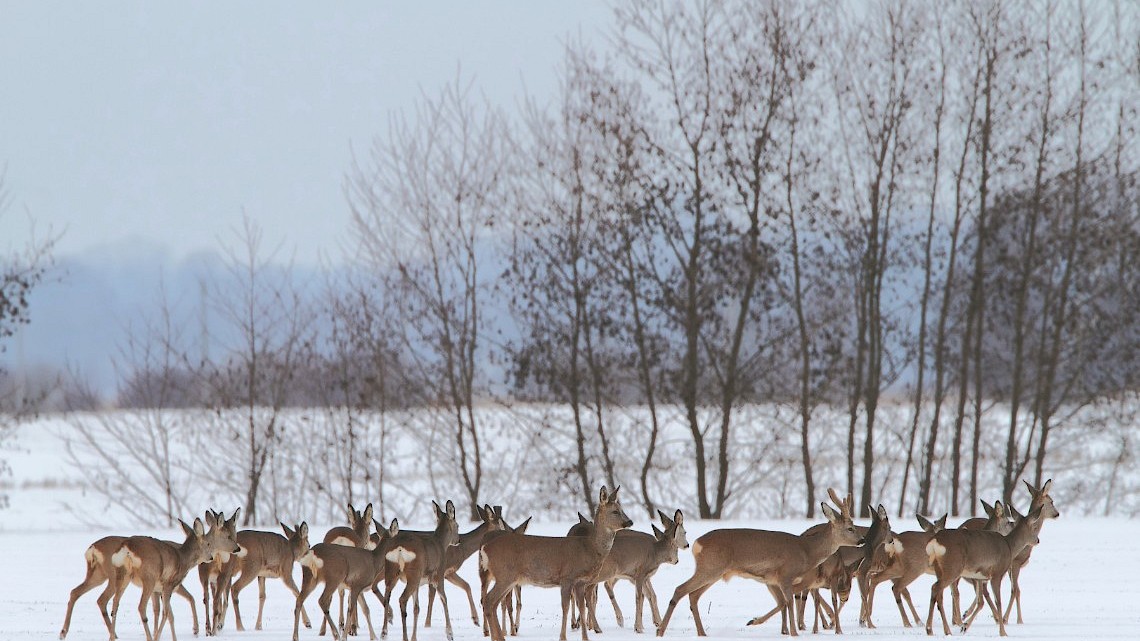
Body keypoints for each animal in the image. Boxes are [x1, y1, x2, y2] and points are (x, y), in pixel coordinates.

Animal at [112, 510, 241, 641]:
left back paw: (112, 637)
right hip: (149, 578)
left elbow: (169, 613)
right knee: (141, 607)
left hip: (123, 575)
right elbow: (167, 613)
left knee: (115, 603)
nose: (237, 548)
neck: (183, 557)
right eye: (228, 535)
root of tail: (127, 547)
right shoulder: (169, 584)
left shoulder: (162, 588)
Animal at [378, 497, 458, 638]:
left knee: (387, 597)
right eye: (457, 526)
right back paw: (404, 637)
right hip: (414, 573)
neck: (441, 544)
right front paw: (450, 633)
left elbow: (416, 608)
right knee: (402, 599)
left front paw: (414, 637)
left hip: (391, 571)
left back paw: (384, 633)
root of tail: (399, 548)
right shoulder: (439, 574)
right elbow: (444, 598)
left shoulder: (419, 583)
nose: (458, 540)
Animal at [478, 483, 633, 638]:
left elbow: (582, 608)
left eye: (622, 509)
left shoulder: (580, 582)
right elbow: (565, 607)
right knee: (489, 600)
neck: (589, 548)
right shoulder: (567, 577)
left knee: (493, 603)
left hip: (507, 578)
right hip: (505, 575)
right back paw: (499, 636)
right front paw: (563, 637)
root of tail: (485, 547)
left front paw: (585, 637)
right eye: (615, 511)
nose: (629, 521)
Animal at [656, 485, 857, 634]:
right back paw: (661, 630)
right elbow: (789, 602)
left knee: (693, 595)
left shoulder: (776, 580)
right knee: (680, 589)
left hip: (714, 572)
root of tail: (696, 544)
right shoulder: (785, 575)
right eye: (850, 528)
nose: (862, 539)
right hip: (710, 568)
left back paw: (702, 633)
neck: (807, 551)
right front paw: (794, 633)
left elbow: (785, 603)